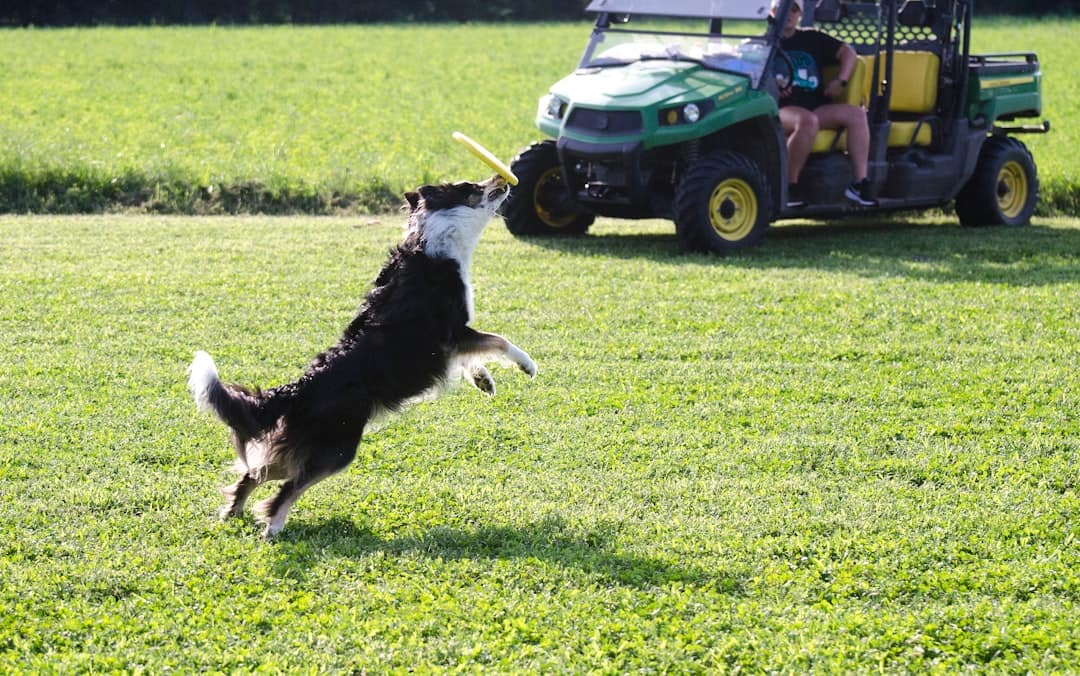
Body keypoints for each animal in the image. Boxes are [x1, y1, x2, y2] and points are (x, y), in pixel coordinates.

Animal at [191, 174, 540, 537]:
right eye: (471, 186)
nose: (502, 177)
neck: (435, 239)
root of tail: (300, 388)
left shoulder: (454, 343)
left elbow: (476, 357)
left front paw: (484, 380)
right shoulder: (453, 334)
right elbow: (499, 341)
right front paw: (528, 365)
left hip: (301, 446)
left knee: (254, 473)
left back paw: (232, 511)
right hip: (337, 449)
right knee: (288, 488)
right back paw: (273, 526)